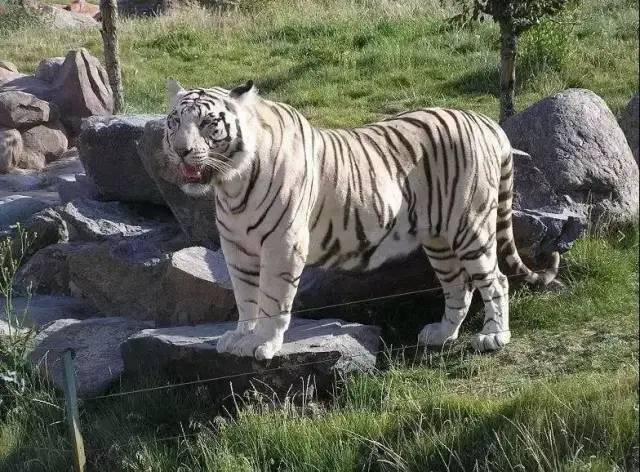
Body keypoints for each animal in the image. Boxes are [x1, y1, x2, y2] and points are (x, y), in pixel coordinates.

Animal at [164, 80, 560, 358]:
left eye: (208, 123)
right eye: (174, 121)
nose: (181, 150)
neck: (231, 183)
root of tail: (488, 123)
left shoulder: (282, 245)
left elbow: (272, 300)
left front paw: (263, 343)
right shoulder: (237, 247)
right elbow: (246, 297)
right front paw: (240, 336)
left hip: (471, 227)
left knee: (496, 280)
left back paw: (494, 336)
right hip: (439, 239)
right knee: (458, 286)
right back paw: (441, 335)